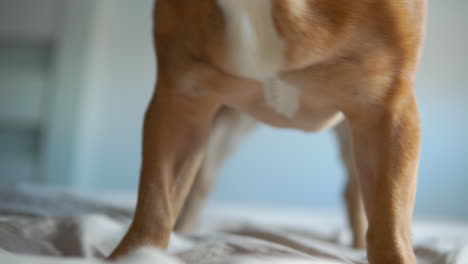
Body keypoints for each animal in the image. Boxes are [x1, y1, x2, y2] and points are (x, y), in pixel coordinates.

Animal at [111, 1, 426, 262]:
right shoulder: (180, 101)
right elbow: (156, 202)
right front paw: (135, 253)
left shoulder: (386, 112)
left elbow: (390, 220)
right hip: (225, 123)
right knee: (200, 183)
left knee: (356, 192)